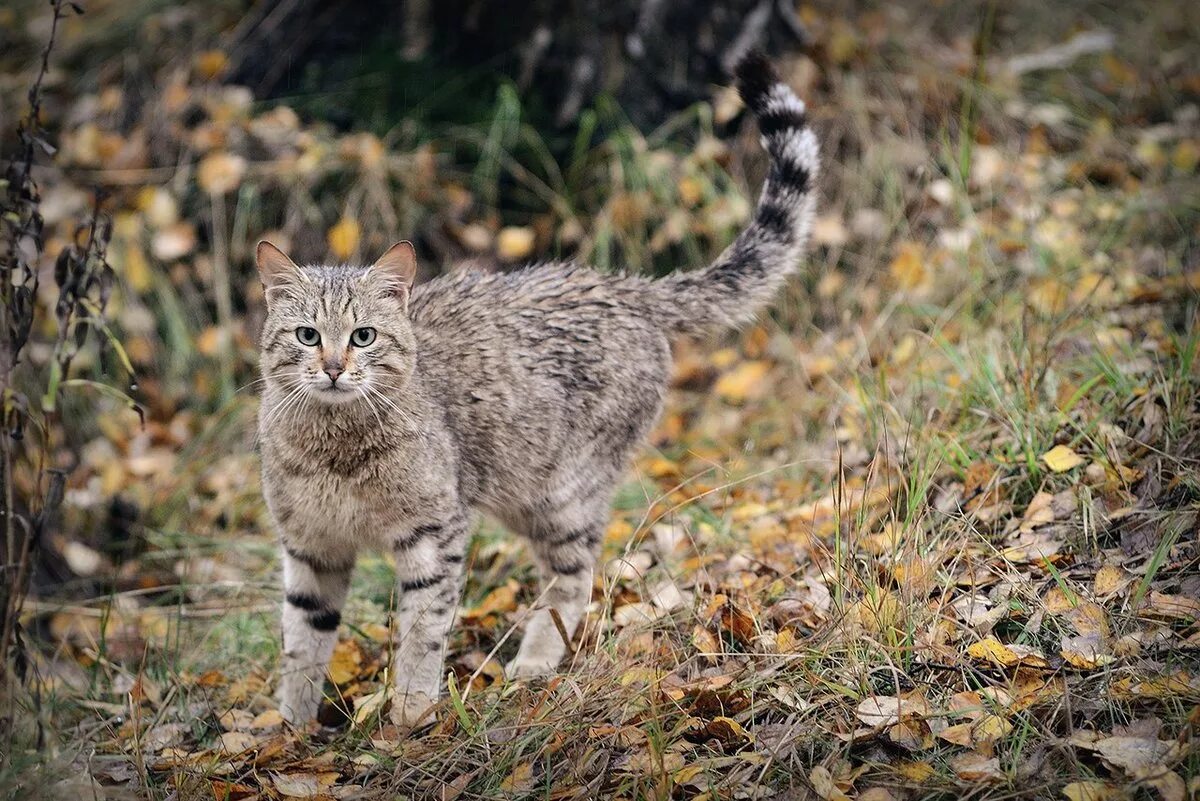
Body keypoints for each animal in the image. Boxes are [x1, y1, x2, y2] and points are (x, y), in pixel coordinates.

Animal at [258, 53, 820, 729]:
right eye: (307, 335)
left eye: (363, 336)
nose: (336, 367)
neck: (335, 449)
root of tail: (622, 284)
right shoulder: (310, 549)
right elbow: (301, 644)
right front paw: (288, 728)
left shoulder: (435, 535)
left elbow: (422, 629)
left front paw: (412, 708)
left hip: (559, 493)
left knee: (572, 578)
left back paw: (534, 659)